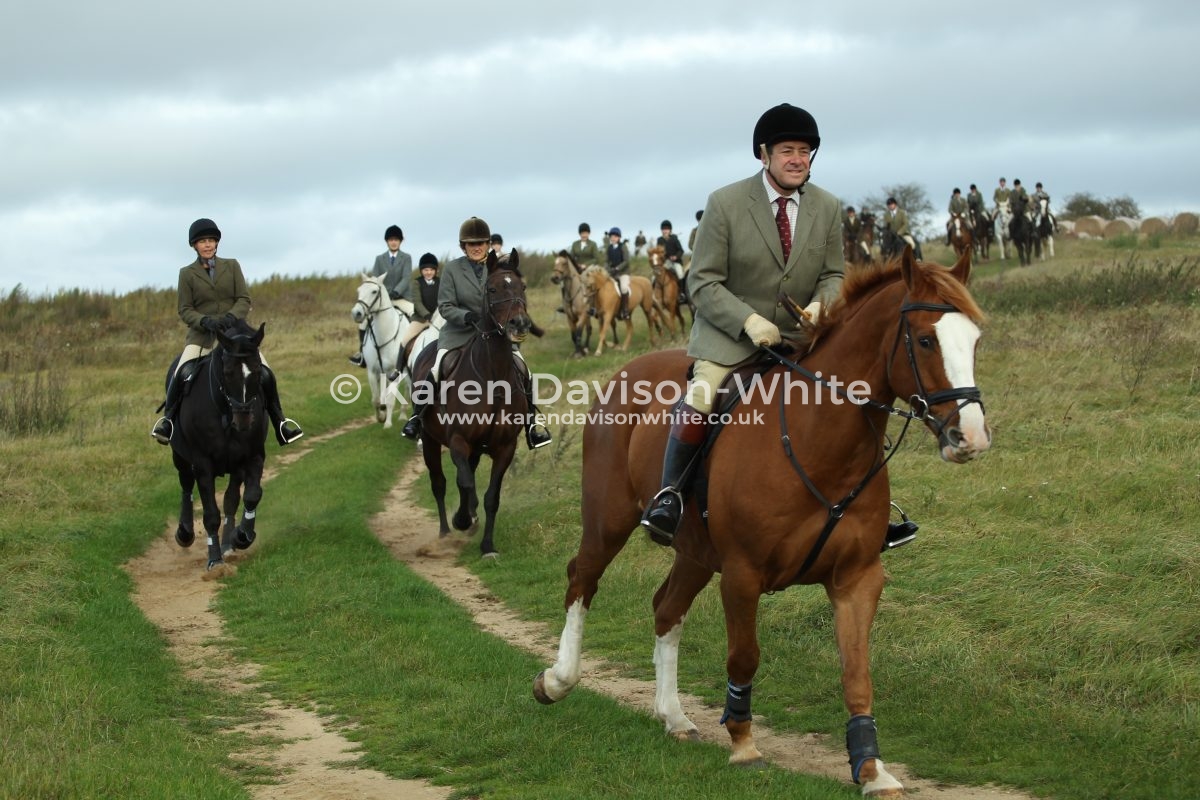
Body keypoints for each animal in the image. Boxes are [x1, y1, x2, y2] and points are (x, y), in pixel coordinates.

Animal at [169, 319, 270, 578]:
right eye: (227, 373)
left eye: (258, 370)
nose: (244, 419)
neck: (224, 412)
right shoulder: (203, 465)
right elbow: (211, 515)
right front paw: (214, 560)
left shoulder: (253, 456)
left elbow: (251, 495)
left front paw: (242, 536)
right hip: (180, 457)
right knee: (186, 485)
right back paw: (185, 533)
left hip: (235, 466)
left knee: (231, 499)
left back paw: (228, 543)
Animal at [350, 274, 413, 428]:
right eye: (359, 290)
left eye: (374, 291)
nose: (356, 313)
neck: (385, 334)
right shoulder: (373, 372)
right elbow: (376, 399)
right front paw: (381, 417)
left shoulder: (395, 373)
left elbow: (390, 399)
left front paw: (388, 424)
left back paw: (403, 415)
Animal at [533, 246, 990, 796]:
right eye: (925, 340)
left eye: (975, 340)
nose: (971, 437)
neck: (818, 441)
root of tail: (626, 372)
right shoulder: (742, 574)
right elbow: (744, 655)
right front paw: (744, 743)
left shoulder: (858, 578)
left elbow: (857, 671)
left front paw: (872, 769)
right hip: (609, 521)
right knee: (582, 579)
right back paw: (557, 680)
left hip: (695, 552)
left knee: (666, 608)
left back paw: (673, 715)